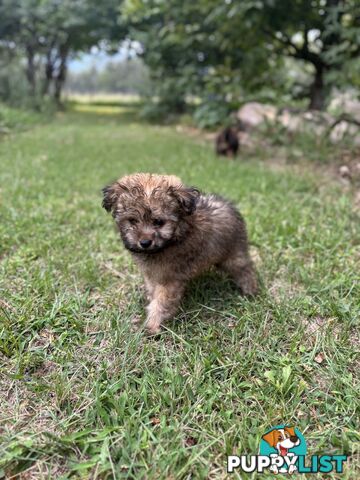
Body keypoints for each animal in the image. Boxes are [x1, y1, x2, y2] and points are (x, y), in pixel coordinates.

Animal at [102, 172, 258, 334]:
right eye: (132, 220)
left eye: (158, 222)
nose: (145, 243)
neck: (174, 237)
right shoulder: (152, 275)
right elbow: (153, 292)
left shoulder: (170, 279)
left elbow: (161, 302)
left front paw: (152, 325)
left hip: (233, 254)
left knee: (245, 269)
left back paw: (250, 291)